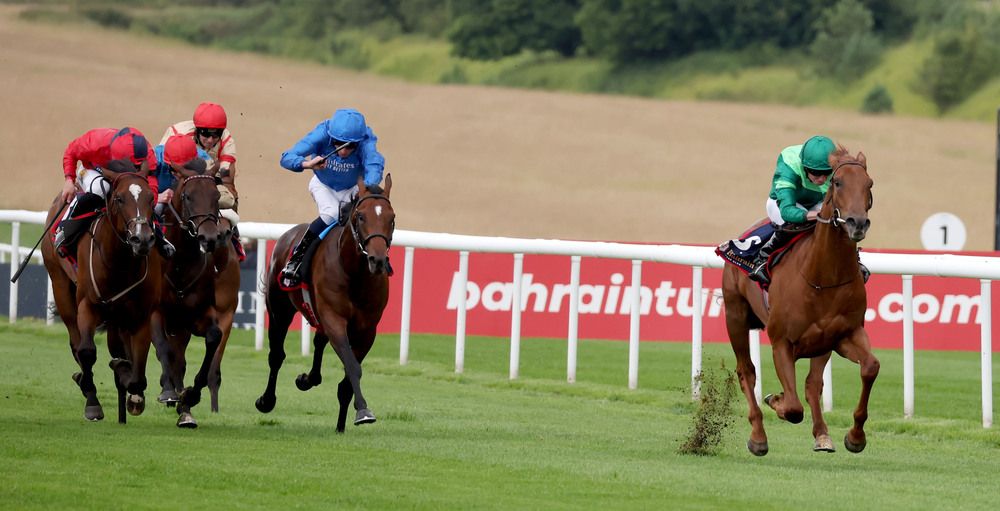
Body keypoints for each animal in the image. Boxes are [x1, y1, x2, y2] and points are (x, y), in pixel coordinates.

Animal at [41, 162, 164, 426]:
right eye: (119, 198)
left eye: (151, 198)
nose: (142, 239)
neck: (121, 263)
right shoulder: (88, 305)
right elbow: (87, 351)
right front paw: (92, 401)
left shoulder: (141, 314)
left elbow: (137, 365)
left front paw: (131, 387)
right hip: (61, 286)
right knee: (76, 342)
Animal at [157, 159, 241, 428]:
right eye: (187, 196)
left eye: (216, 196)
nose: (210, 237)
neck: (180, 265)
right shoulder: (161, 314)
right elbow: (166, 352)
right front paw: (172, 395)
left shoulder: (210, 314)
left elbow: (213, 340)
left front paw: (189, 398)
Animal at [254, 175, 394, 432]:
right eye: (361, 216)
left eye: (392, 218)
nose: (378, 260)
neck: (354, 273)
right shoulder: (334, 318)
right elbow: (352, 366)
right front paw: (363, 411)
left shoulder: (367, 329)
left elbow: (348, 376)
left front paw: (344, 422)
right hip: (279, 309)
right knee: (276, 354)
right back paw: (267, 400)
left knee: (318, 341)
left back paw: (308, 379)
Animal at [724, 147, 880, 456]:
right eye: (838, 183)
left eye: (868, 184)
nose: (857, 223)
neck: (823, 276)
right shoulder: (781, 341)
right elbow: (794, 408)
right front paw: (776, 401)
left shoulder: (844, 335)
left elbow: (870, 367)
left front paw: (855, 437)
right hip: (735, 315)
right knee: (746, 371)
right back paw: (758, 436)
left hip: (821, 344)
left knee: (811, 384)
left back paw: (822, 435)